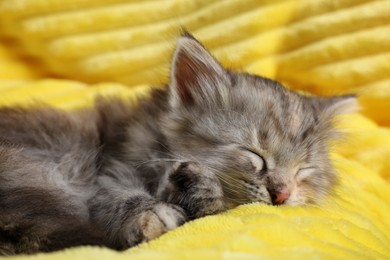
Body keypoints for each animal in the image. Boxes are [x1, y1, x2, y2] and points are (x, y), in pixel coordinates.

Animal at [0, 34, 356, 254]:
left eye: (303, 171)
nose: (282, 194)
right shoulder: (109, 175)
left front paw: (195, 192)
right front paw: (154, 214)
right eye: (254, 155)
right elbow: (122, 198)